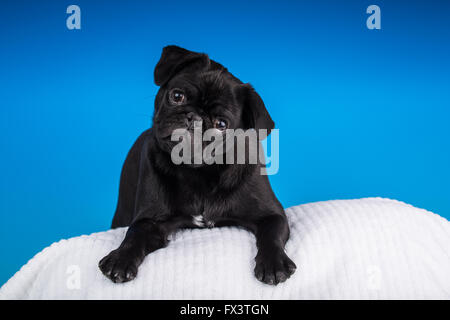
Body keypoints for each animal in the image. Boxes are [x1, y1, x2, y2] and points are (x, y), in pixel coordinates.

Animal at [98, 45, 296, 284]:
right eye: (177, 96)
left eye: (221, 124)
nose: (194, 118)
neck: (200, 171)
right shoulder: (150, 220)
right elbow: (134, 234)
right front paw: (120, 258)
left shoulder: (273, 215)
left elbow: (271, 235)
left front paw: (274, 263)